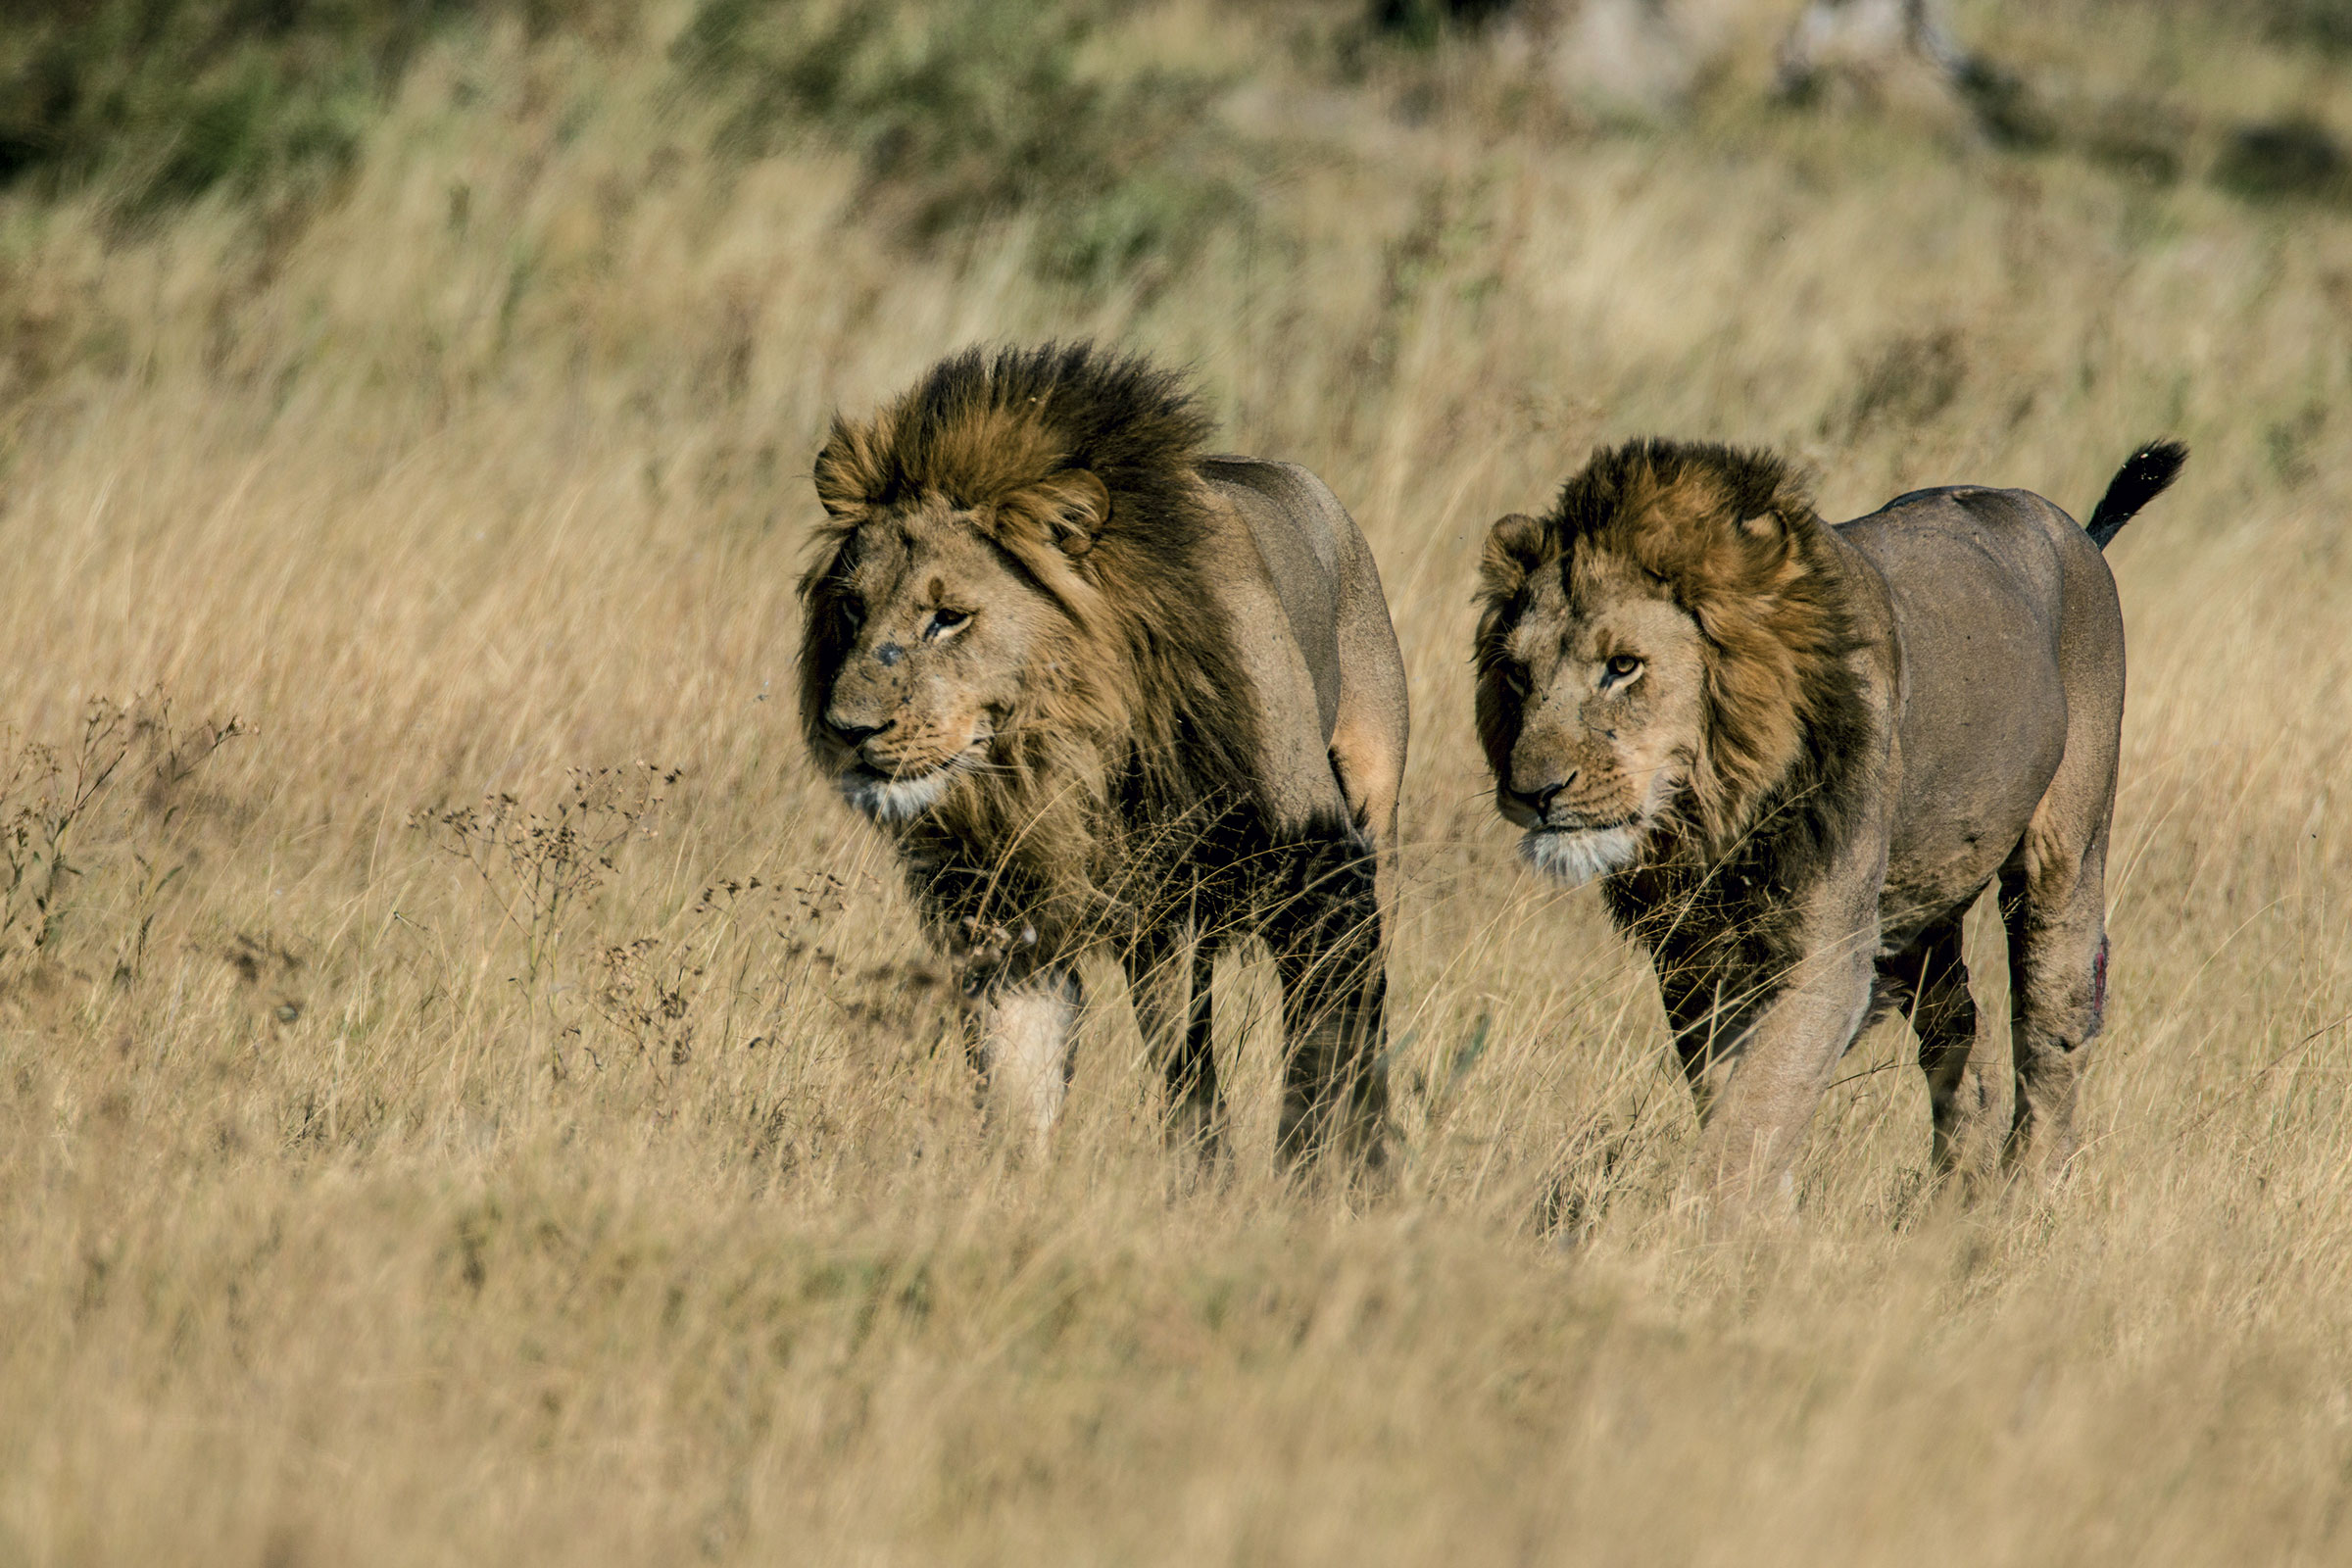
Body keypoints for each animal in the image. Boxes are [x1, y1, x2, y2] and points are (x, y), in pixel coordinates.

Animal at [800, 345, 1401, 1175]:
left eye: (948, 618)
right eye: (852, 607)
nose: (848, 729)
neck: (1069, 761)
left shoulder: (1316, 865)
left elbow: (1328, 1041)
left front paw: (1325, 1171)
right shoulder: (1007, 922)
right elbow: (1020, 1080)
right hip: (1161, 929)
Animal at [1467, 434, 2182, 1222]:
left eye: (1624, 666)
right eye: (1517, 674)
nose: (1532, 793)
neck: (1715, 813)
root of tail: (2071, 529)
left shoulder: (1831, 950)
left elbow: (1759, 1103)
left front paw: (1714, 1225)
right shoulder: (1688, 959)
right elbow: (1735, 1094)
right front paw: (1768, 1222)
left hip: (2063, 859)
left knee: (2054, 1028)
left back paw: (2023, 1200)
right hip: (1917, 905)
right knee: (1960, 1030)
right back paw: (1951, 1199)